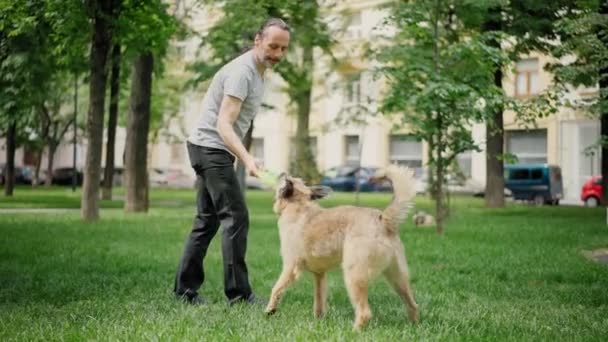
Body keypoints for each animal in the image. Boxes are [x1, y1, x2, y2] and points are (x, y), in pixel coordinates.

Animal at [266, 164, 418, 330]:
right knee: (412, 305)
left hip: (354, 275)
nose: (283, 172)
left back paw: (354, 330)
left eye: (286, 179)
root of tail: (383, 219)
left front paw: (270, 309)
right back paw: (414, 325)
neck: (298, 204)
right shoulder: (319, 274)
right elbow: (319, 300)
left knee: (364, 312)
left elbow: (276, 288)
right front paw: (318, 320)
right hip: (397, 277)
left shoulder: (290, 267)